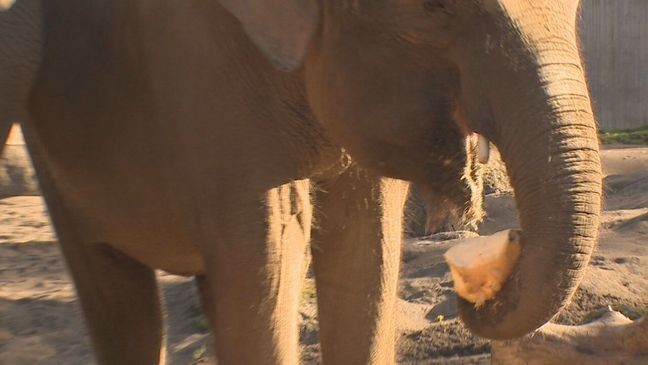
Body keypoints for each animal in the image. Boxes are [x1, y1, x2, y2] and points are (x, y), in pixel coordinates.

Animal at [1, 0, 604, 364]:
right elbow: (272, 247)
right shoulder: (200, 64)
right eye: (433, 9)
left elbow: (366, 248)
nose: (472, 296)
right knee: (118, 293)